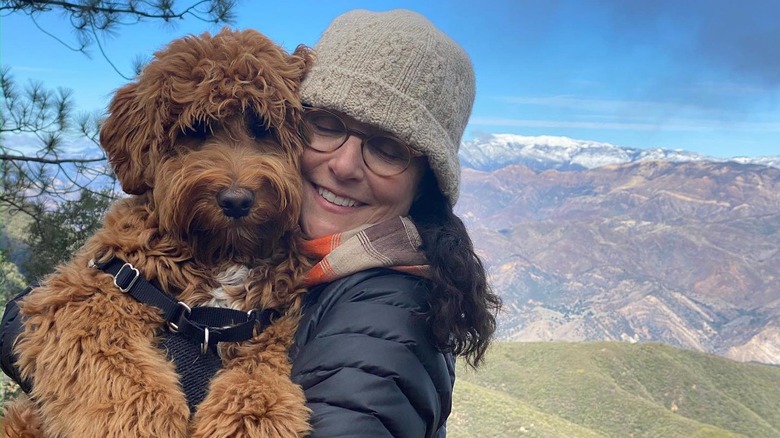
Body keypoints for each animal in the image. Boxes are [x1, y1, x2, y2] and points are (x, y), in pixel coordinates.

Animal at [3, 29, 314, 436]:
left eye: (263, 128)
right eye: (195, 131)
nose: (236, 201)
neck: (220, 255)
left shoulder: (268, 323)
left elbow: (260, 376)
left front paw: (249, 417)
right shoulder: (83, 295)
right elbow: (121, 375)